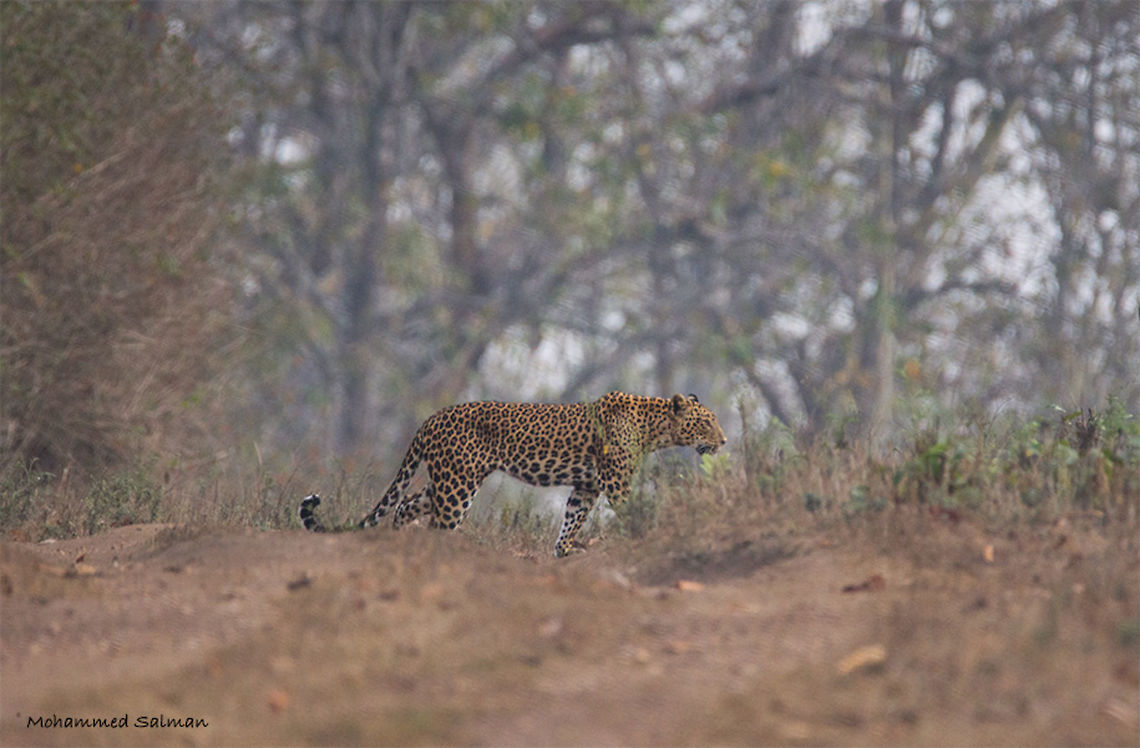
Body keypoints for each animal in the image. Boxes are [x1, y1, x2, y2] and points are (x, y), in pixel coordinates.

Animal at [299, 391, 727, 557]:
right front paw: (650, 531)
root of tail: (431, 418)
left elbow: (571, 519)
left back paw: (400, 540)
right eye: (706, 423)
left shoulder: (586, 486)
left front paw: (563, 552)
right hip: (457, 486)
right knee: (437, 523)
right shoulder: (616, 482)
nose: (723, 441)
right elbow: (634, 510)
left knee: (406, 505)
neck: (654, 427)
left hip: (447, 481)